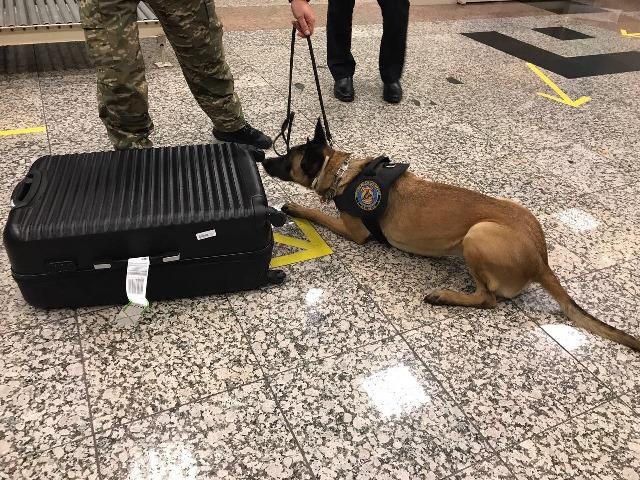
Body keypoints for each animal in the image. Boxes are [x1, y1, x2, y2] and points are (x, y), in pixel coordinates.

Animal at [262, 120, 640, 352]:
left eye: (286, 158)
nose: (263, 159)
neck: (342, 171)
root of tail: (541, 261)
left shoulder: (353, 230)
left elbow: (318, 213)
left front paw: (296, 207)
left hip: (476, 236)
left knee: (488, 299)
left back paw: (445, 295)